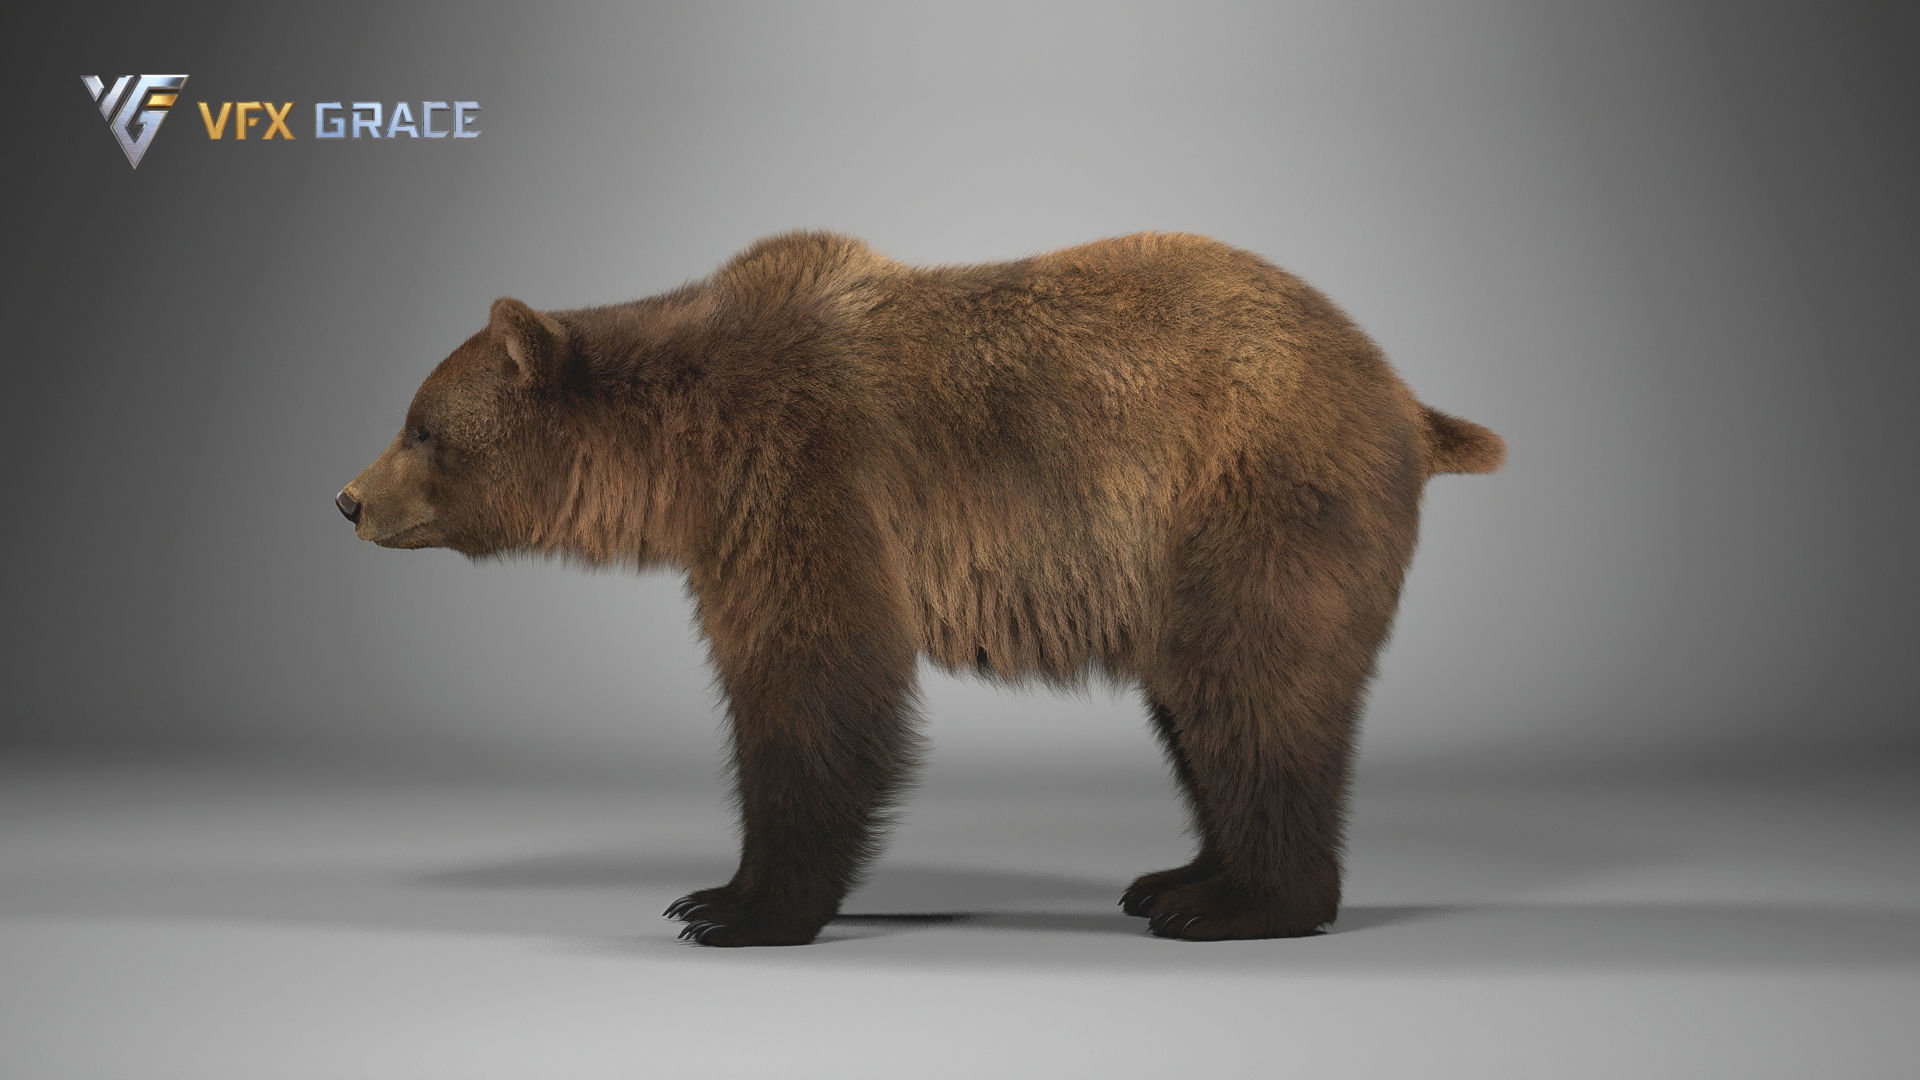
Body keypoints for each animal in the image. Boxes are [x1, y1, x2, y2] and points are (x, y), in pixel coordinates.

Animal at [336, 231, 1504, 946]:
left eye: (420, 426)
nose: (346, 499)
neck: (686, 448)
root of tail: (1403, 395)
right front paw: (719, 892)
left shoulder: (804, 472)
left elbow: (814, 683)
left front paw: (734, 906)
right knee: (1202, 705)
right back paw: (1179, 878)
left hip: (1253, 498)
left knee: (1252, 688)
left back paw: (1243, 902)